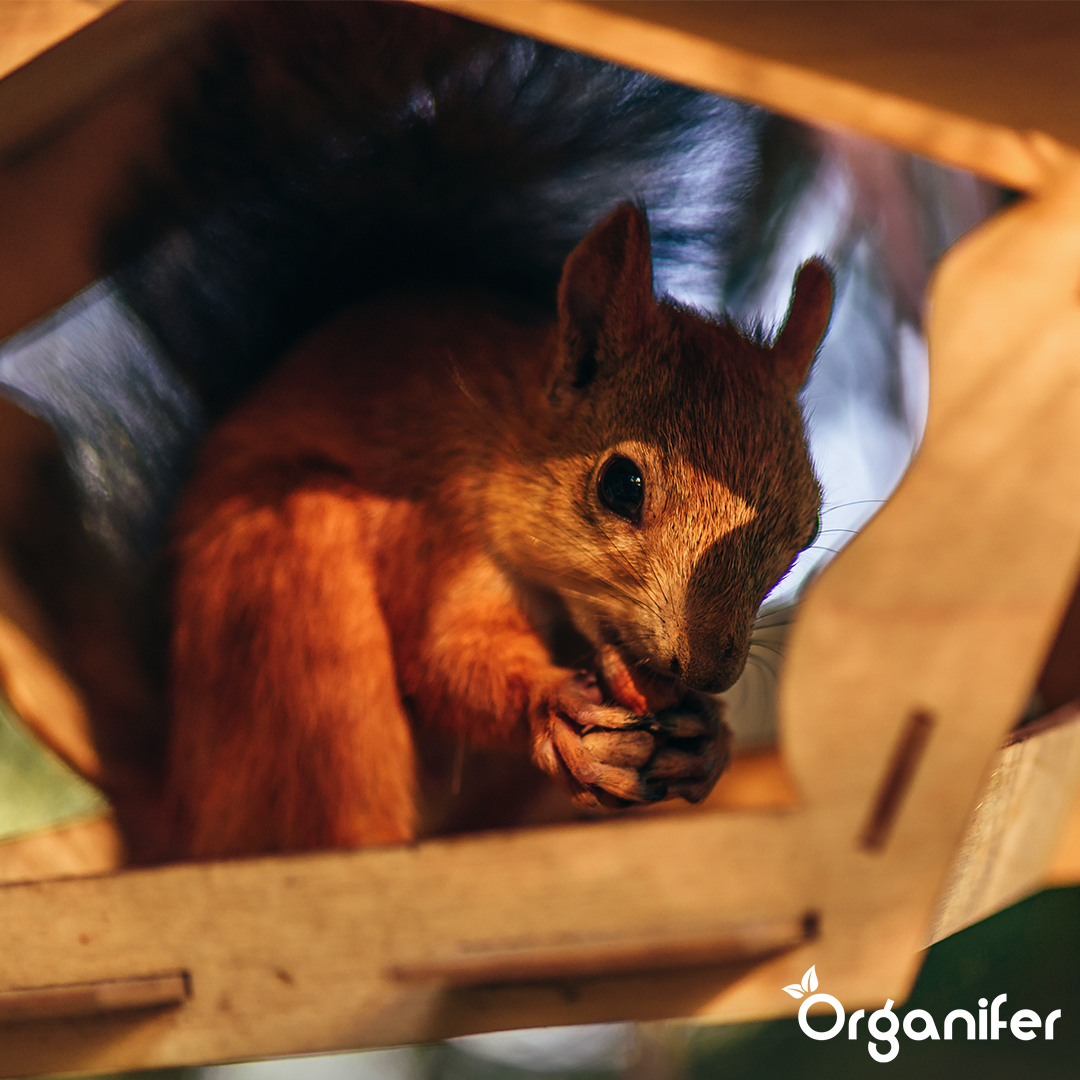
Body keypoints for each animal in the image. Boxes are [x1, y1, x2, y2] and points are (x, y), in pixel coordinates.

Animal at [159, 203, 831, 858]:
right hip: (293, 621)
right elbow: (447, 651)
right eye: (621, 484)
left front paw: (710, 739)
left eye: (805, 531)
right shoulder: (441, 520)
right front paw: (554, 698)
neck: (505, 432)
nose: (709, 673)